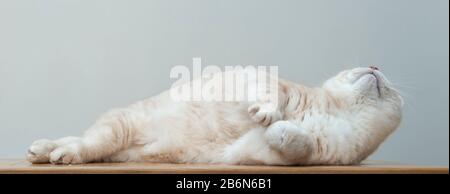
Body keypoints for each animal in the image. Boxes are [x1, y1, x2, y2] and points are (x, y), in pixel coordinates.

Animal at [26, 66, 402, 165]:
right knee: (83, 145)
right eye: (358, 67)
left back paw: (44, 150)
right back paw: (57, 153)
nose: (375, 66)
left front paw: (284, 132)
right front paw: (268, 113)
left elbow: (299, 145)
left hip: (115, 143)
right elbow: (271, 95)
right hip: (118, 127)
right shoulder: (264, 79)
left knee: (84, 144)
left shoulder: (274, 155)